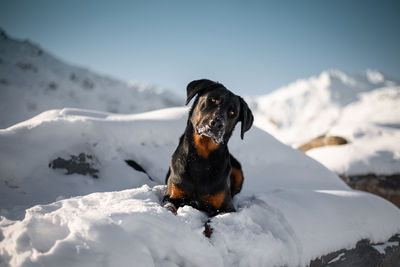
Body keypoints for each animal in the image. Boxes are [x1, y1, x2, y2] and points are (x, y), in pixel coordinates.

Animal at [162, 79, 253, 218]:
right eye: (213, 99)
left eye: (233, 113)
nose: (218, 123)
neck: (202, 157)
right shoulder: (173, 194)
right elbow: (170, 206)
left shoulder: (226, 208)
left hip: (238, 171)